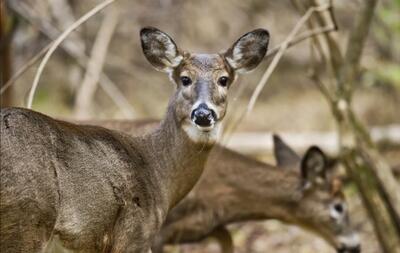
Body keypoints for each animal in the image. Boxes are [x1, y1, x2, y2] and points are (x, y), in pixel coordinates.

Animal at [0, 26, 270, 252]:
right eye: (185, 78)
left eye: (223, 79)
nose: (203, 114)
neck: (156, 171)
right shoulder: (134, 234)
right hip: (27, 220)